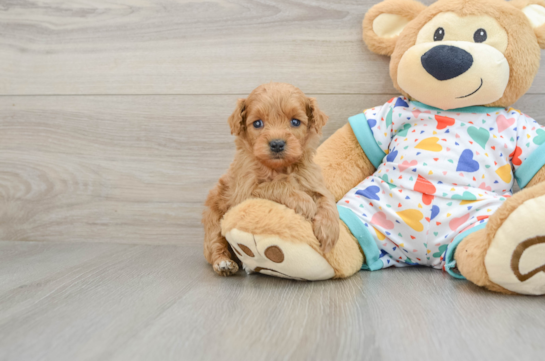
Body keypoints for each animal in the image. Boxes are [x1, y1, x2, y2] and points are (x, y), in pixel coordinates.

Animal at [204, 82, 340, 276]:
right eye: (257, 123)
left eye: (295, 122)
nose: (277, 144)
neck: (279, 168)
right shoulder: (244, 193)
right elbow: (275, 185)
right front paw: (305, 203)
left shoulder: (313, 181)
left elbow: (326, 200)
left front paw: (329, 232)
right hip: (214, 217)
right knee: (214, 244)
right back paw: (223, 263)